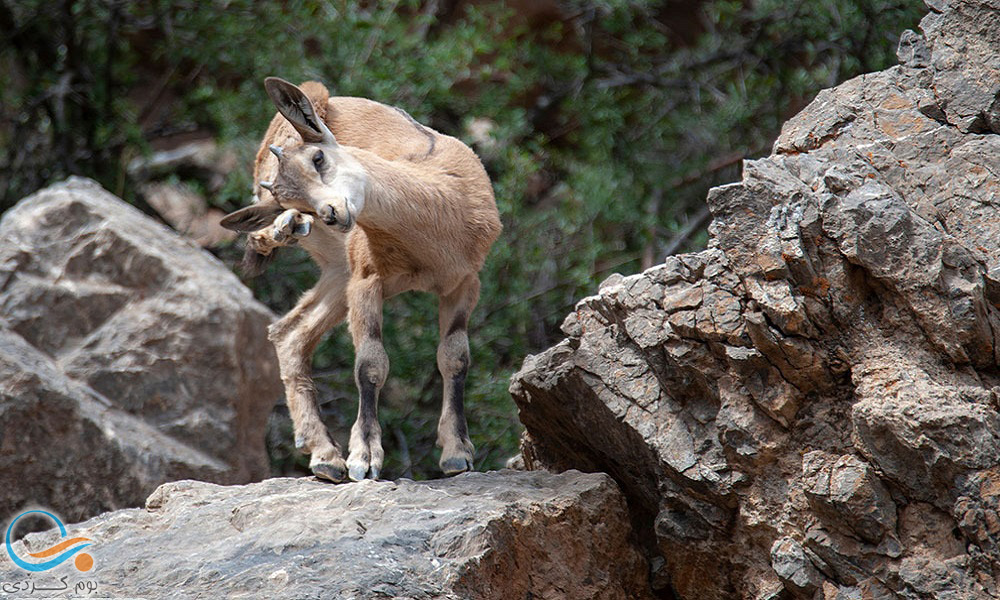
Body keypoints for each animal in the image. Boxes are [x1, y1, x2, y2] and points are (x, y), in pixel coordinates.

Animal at [219, 78, 500, 482]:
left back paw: (324, 456)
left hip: (339, 272)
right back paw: (284, 228)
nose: (329, 213)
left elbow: (455, 358)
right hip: (341, 267)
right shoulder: (368, 278)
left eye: (318, 159)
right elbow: (370, 364)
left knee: (289, 333)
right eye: (297, 199)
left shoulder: (465, 282)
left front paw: (456, 454)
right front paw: (365, 458)